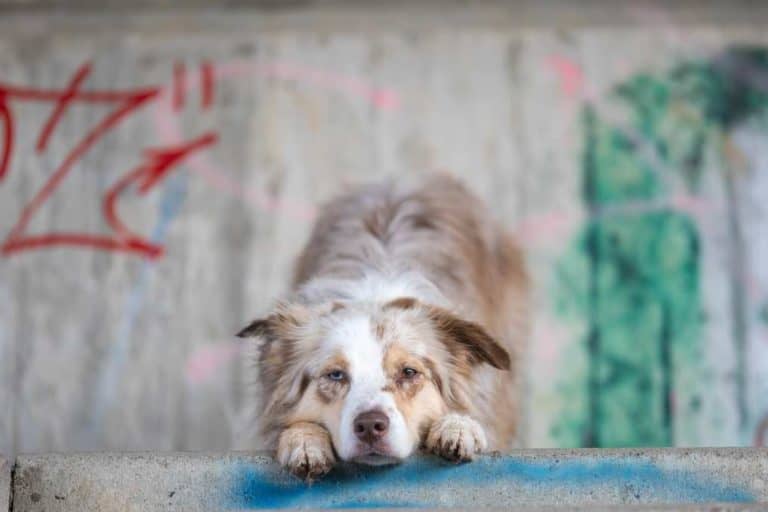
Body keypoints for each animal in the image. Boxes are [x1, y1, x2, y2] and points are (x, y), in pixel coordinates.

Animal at [238, 173, 528, 480]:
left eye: (409, 372)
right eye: (335, 375)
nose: (370, 426)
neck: (374, 296)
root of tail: (398, 181)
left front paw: (458, 426)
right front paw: (304, 441)